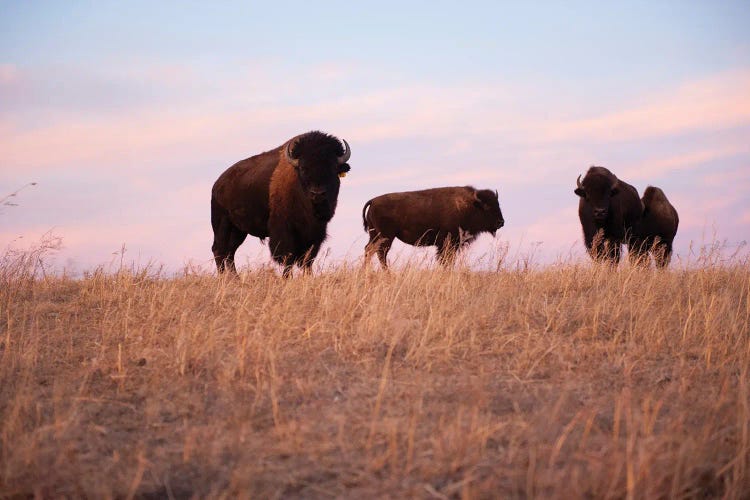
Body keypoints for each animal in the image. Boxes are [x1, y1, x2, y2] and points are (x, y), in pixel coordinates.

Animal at [212, 131, 352, 276]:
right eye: (303, 168)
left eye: (333, 167)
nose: (317, 193)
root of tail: (217, 184)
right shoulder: (284, 229)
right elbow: (287, 257)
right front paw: (286, 277)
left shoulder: (316, 232)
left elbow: (308, 259)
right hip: (222, 224)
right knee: (219, 249)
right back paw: (223, 276)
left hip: (238, 230)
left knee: (230, 251)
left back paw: (235, 278)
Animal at [362, 185, 506, 270]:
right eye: (487, 207)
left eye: (498, 204)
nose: (501, 222)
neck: (470, 206)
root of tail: (373, 201)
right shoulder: (446, 243)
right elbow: (444, 260)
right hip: (386, 237)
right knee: (381, 253)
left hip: (375, 235)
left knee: (369, 250)